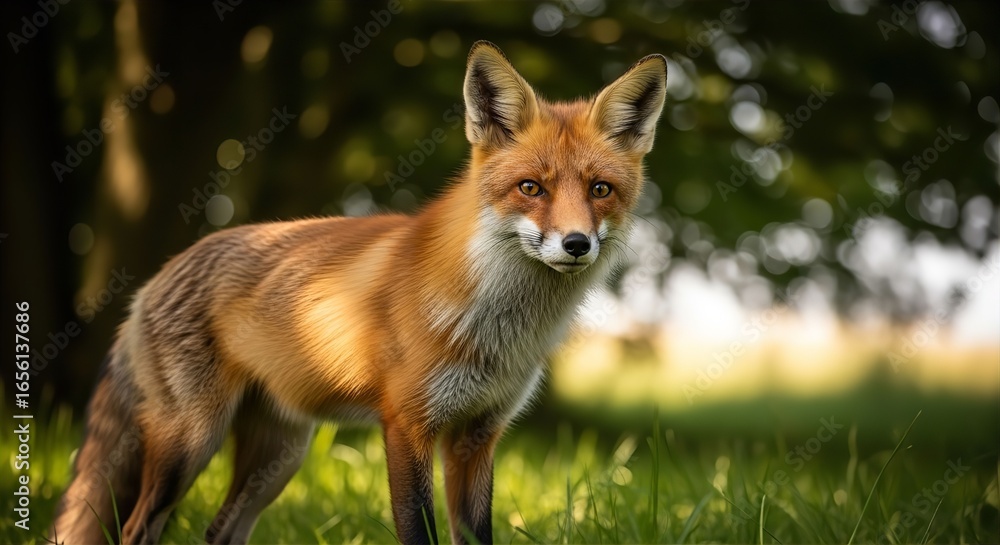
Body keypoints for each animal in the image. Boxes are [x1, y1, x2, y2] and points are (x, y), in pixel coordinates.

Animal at [51, 40, 667, 545]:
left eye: (600, 190)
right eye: (531, 188)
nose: (577, 244)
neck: (498, 327)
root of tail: (157, 275)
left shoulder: (478, 435)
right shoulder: (407, 426)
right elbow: (418, 534)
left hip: (279, 456)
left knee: (219, 532)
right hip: (192, 441)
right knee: (135, 530)